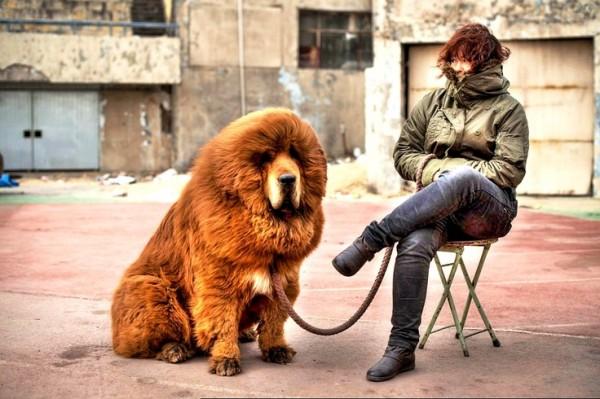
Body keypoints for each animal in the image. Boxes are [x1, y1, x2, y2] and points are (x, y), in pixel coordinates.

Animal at [112, 108, 328, 376]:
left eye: (295, 155)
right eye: (266, 158)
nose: (288, 179)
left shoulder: (284, 281)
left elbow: (274, 322)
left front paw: (276, 349)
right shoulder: (219, 284)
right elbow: (222, 322)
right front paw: (226, 359)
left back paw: (244, 333)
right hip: (150, 288)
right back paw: (174, 349)